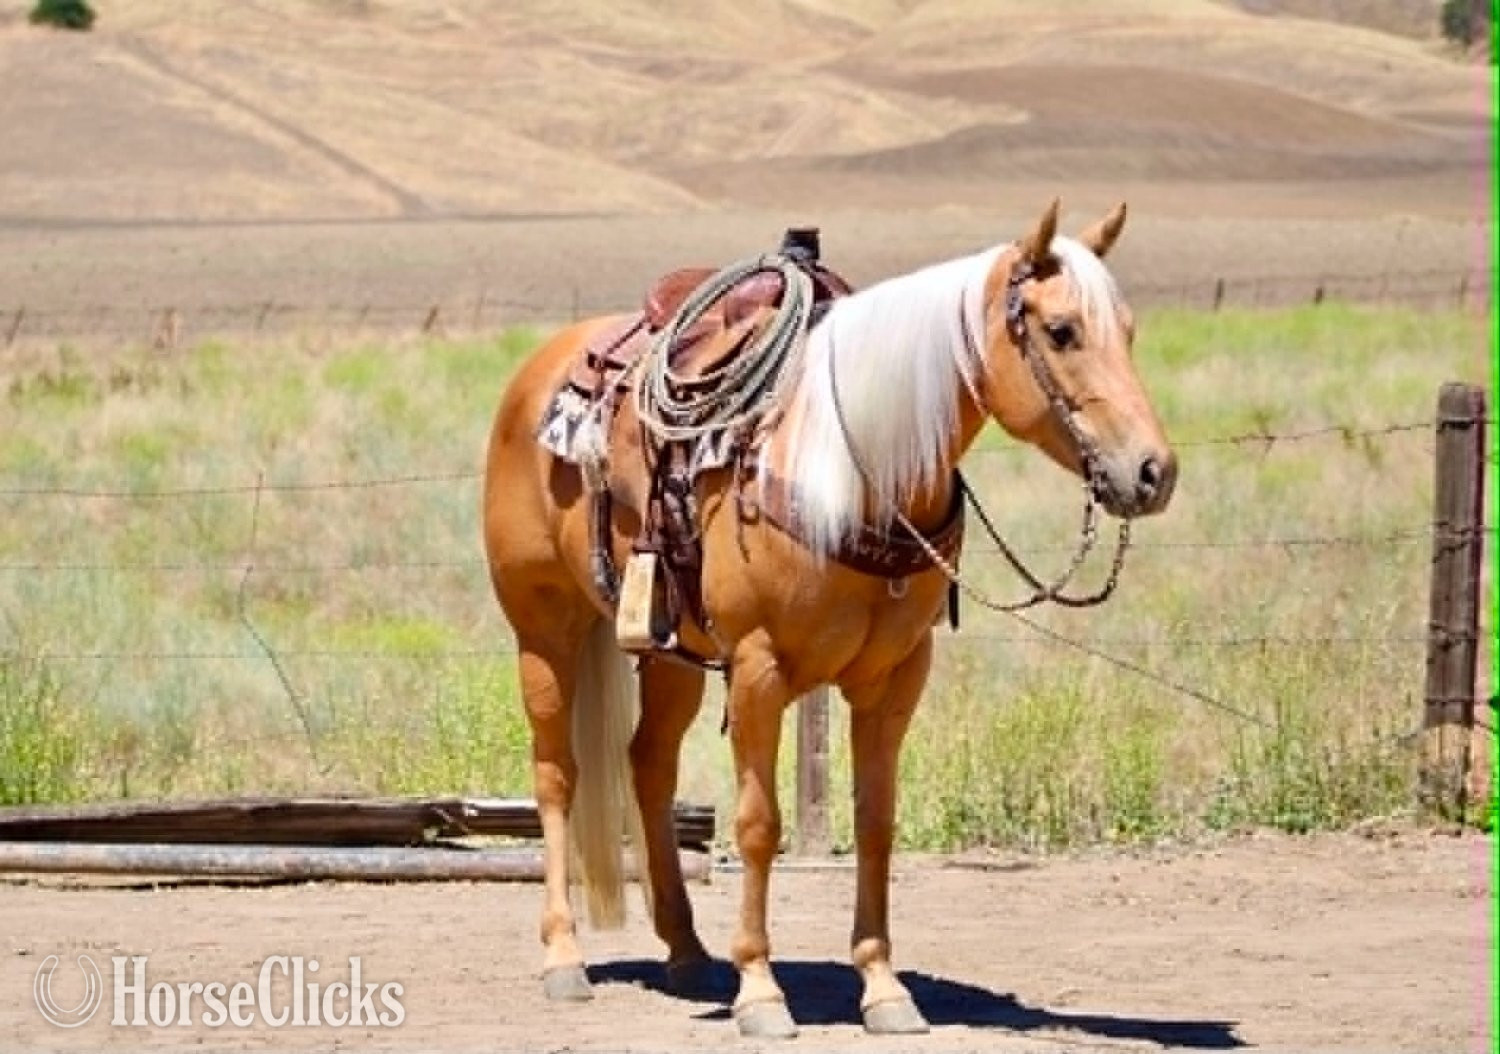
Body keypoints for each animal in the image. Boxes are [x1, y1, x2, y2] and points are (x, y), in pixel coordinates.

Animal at [481, 200, 1177, 1038]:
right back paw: (564, 959)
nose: (1153, 472)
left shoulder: (896, 678)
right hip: (543, 629)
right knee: (557, 774)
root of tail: (541, 367)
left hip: (670, 650)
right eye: (1063, 331)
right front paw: (760, 993)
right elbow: (759, 824)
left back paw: (686, 951)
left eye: (1130, 331)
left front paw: (883, 988)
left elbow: (876, 821)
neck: (849, 471)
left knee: (649, 765)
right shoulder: (759, 669)